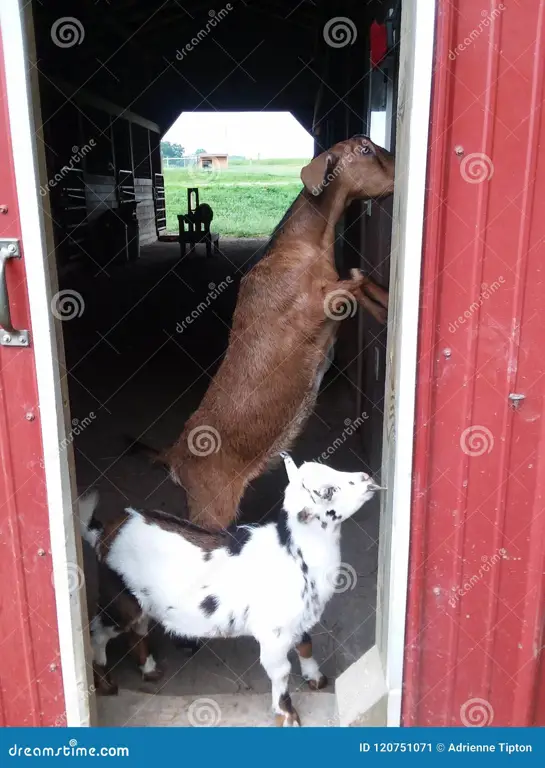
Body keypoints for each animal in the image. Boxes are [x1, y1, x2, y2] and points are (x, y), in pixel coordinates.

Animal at [81, 456, 380, 728]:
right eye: (327, 491)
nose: (367, 478)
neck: (294, 553)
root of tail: (106, 532)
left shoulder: (298, 618)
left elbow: (306, 643)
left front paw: (316, 678)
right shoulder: (273, 634)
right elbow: (281, 672)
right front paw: (288, 716)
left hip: (140, 599)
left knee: (137, 629)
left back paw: (150, 670)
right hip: (119, 596)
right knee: (99, 632)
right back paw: (106, 684)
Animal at [163, 136, 396, 528]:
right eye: (364, 149)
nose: (399, 174)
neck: (303, 247)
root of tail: (176, 460)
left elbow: (361, 286)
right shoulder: (315, 304)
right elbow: (350, 284)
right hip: (211, 508)